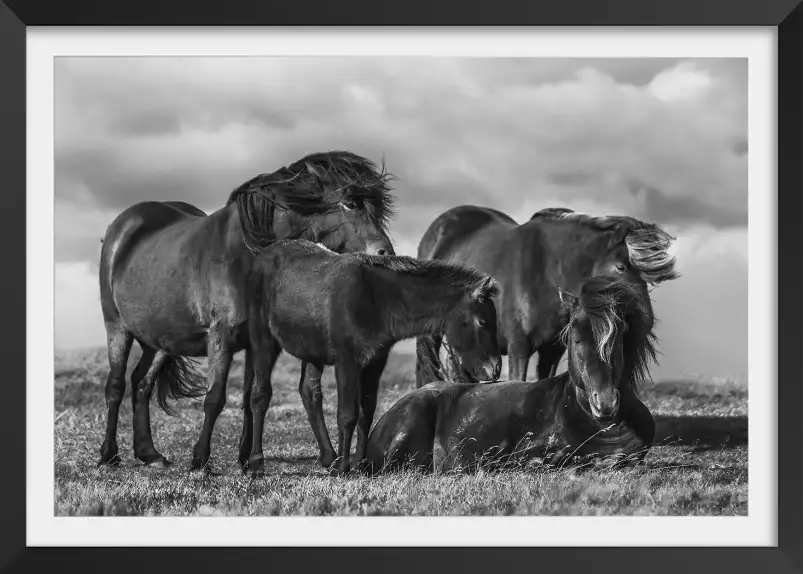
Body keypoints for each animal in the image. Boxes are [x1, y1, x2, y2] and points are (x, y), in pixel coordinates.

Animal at [99, 152, 398, 472]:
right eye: (350, 203)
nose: (386, 253)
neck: (246, 255)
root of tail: (123, 226)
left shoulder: (258, 342)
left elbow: (252, 398)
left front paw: (247, 459)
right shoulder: (221, 337)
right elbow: (215, 397)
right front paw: (200, 459)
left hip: (160, 341)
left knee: (141, 383)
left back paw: (149, 453)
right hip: (117, 327)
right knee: (116, 386)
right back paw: (109, 454)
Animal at [245, 241, 502, 480]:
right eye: (482, 321)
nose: (495, 369)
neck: (377, 301)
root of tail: (262, 254)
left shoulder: (374, 362)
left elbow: (366, 413)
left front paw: (360, 464)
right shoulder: (347, 361)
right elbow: (347, 414)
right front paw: (343, 468)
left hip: (311, 351)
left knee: (309, 393)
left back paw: (328, 458)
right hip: (262, 340)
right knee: (260, 394)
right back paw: (256, 463)